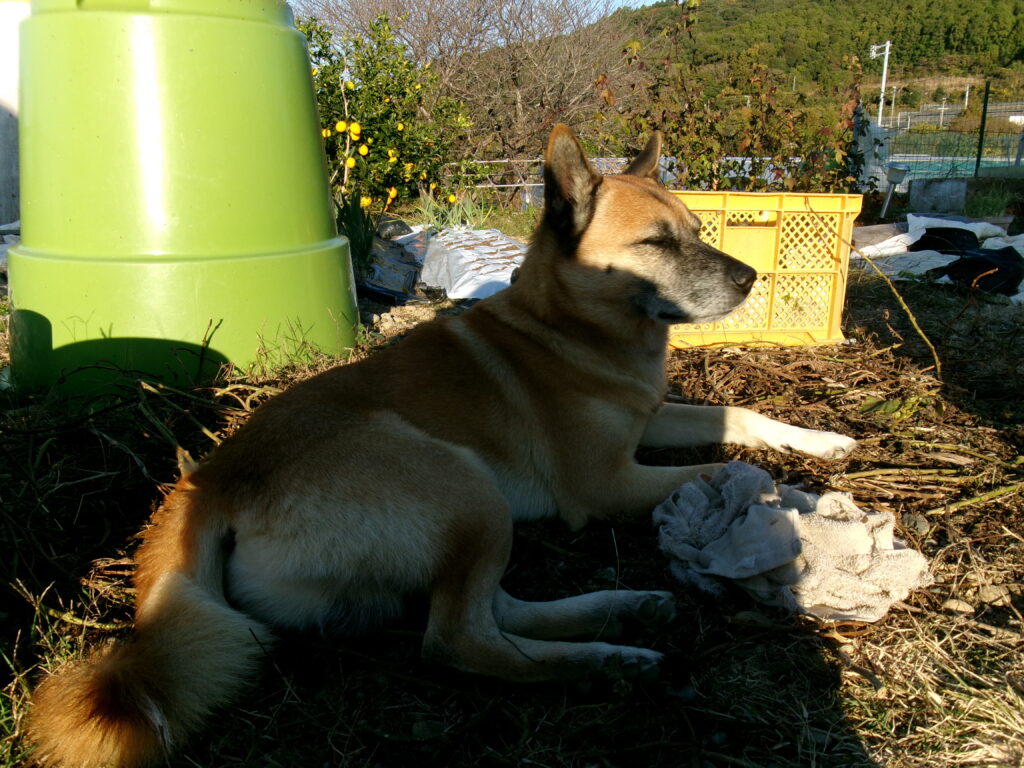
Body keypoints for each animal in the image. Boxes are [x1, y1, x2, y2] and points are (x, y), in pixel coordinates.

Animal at [26, 125, 855, 768]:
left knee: (489, 610)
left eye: (698, 230)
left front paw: (821, 441)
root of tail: (217, 478)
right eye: (655, 242)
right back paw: (607, 666)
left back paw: (626, 617)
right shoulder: (606, 483)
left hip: (471, 512)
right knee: (459, 641)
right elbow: (729, 464)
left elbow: (738, 416)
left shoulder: (648, 424)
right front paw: (805, 503)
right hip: (463, 486)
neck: (569, 328)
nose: (752, 277)